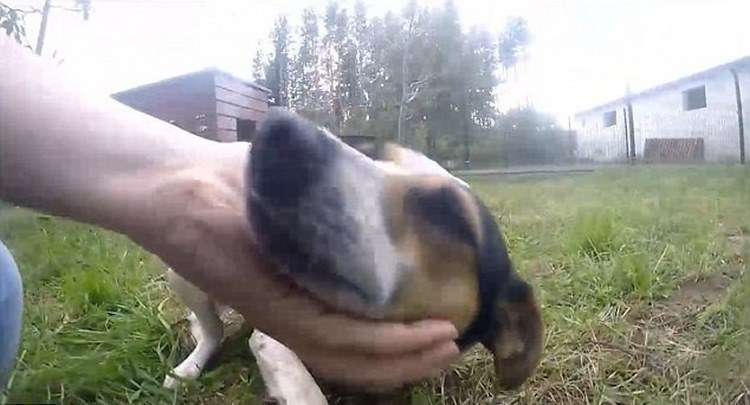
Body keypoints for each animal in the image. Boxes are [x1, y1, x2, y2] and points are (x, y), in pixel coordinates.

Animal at [162, 109, 544, 402]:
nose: (278, 129)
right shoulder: (274, 340)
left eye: (448, 215)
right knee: (212, 330)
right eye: (372, 152)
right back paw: (187, 369)